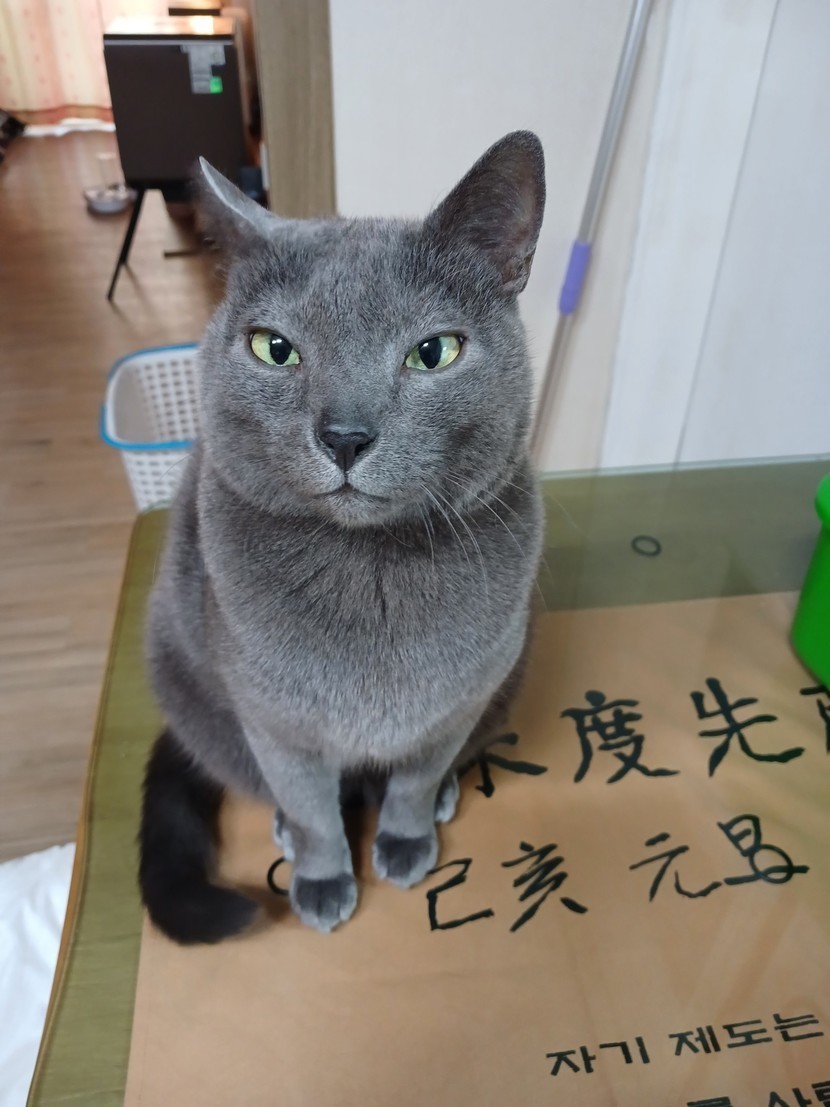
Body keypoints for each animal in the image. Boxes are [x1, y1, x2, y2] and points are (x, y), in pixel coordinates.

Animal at [138, 130, 546, 943]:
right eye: (274, 349)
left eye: (434, 352)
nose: (346, 436)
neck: (372, 574)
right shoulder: (275, 721)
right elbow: (313, 810)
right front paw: (325, 881)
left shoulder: (456, 704)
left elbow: (415, 780)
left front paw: (407, 840)